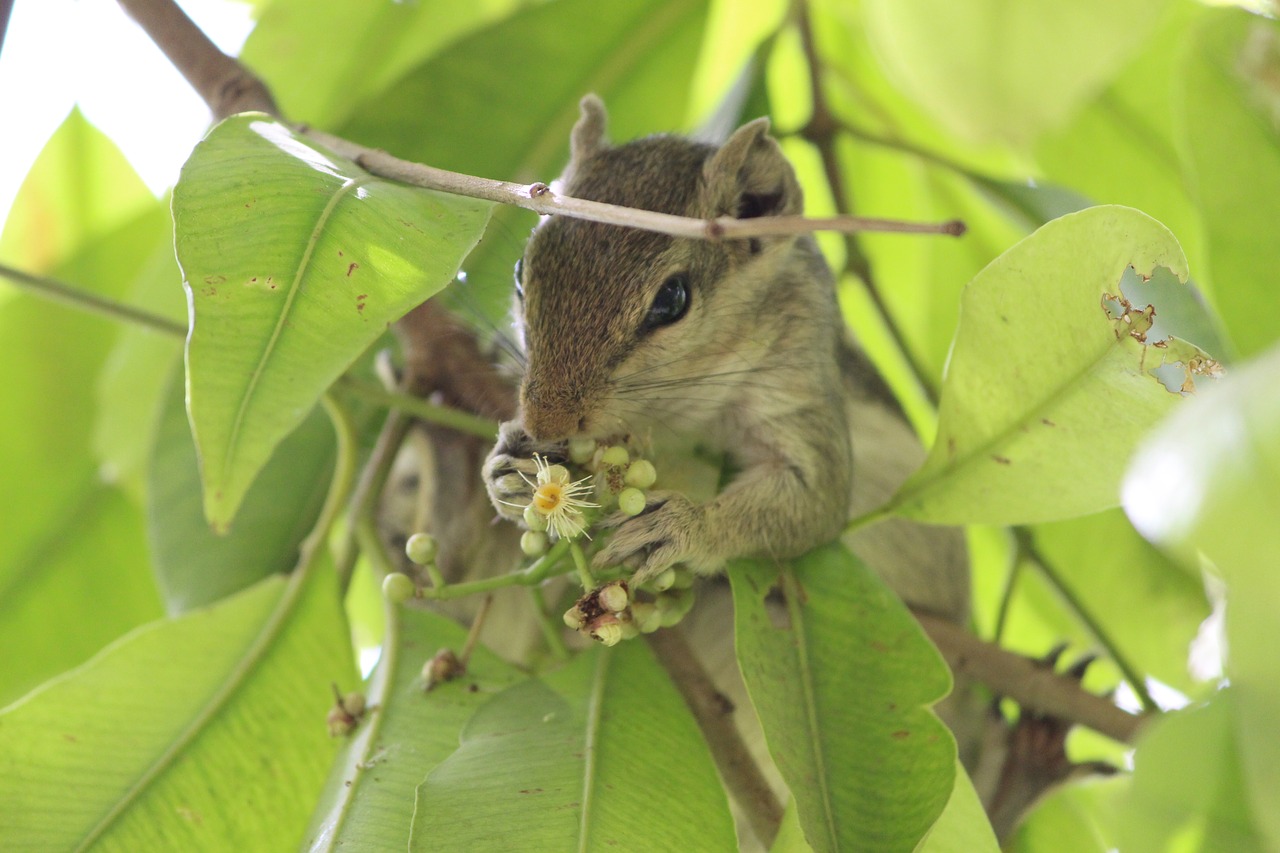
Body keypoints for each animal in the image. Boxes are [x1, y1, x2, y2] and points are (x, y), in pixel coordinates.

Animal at [483, 94, 962, 625]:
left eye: (672, 299)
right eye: (520, 272)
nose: (546, 422)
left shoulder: (797, 378)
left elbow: (816, 497)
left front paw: (685, 526)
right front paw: (509, 468)